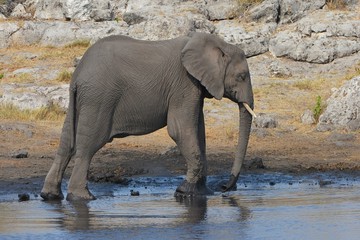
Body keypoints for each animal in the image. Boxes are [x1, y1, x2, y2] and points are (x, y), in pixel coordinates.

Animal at [40, 31, 256, 201]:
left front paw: (201, 194)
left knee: (67, 143)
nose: (224, 187)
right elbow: (180, 130)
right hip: (99, 98)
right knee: (88, 145)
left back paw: (51, 195)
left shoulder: (195, 87)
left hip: (79, 100)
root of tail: (78, 76)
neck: (215, 42)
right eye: (242, 77)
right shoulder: (184, 83)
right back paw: (82, 197)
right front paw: (183, 192)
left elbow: (198, 131)